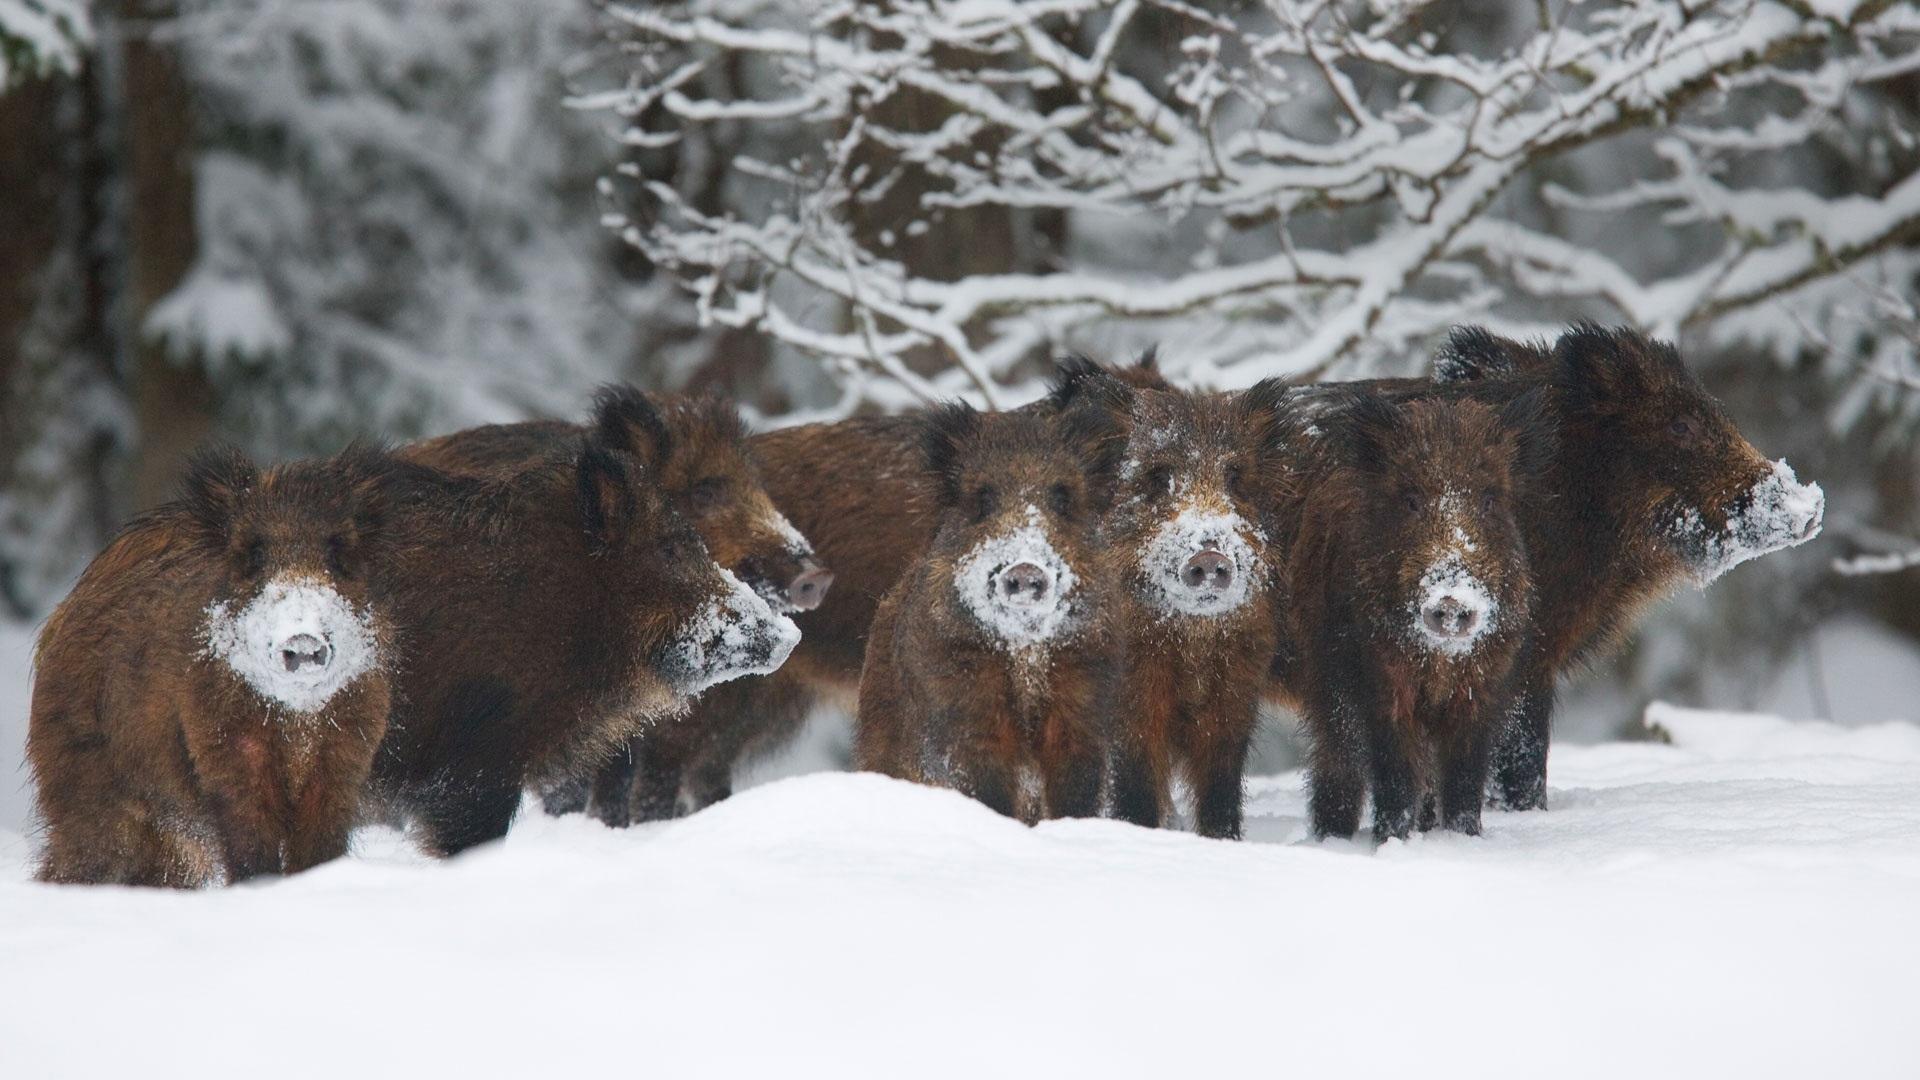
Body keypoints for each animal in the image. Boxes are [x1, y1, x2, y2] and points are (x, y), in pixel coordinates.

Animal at [30, 445, 396, 886]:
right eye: (254, 553)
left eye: (338, 551)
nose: (303, 639)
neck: (296, 723)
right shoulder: (223, 749)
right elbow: (251, 845)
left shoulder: (345, 757)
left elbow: (318, 850)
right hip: (90, 787)